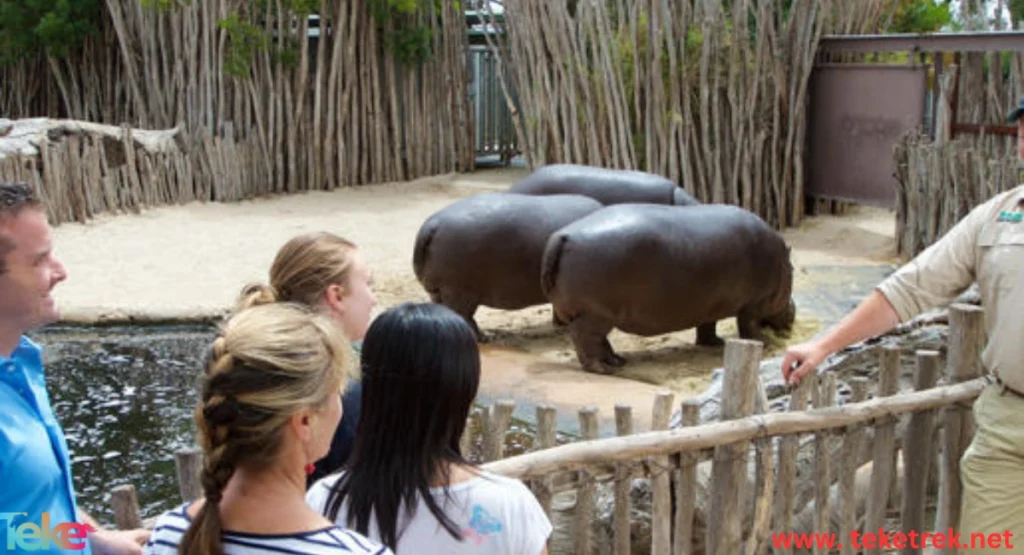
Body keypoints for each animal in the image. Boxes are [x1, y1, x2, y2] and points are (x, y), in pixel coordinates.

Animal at [411, 191, 602, 342]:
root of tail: (432, 225)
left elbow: (558, 306)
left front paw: (560, 325)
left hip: (439, 291)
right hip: (459, 292)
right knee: (464, 317)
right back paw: (483, 338)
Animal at [540, 202, 794, 376]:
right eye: (792, 270)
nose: (793, 312)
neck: (781, 262)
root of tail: (562, 236)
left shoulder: (709, 304)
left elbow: (707, 326)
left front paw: (716, 342)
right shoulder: (754, 304)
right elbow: (749, 327)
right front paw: (766, 344)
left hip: (597, 315)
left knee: (599, 341)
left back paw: (617, 361)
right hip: (596, 314)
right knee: (585, 339)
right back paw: (604, 368)